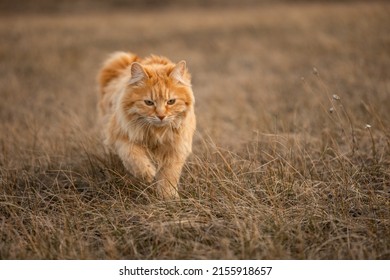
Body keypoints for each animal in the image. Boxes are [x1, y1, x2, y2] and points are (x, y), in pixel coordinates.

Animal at [97, 50, 195, 199]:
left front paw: (168, 196)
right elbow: (134, 157)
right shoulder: (122, 137)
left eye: (171, 101)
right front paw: (147, 174)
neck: (156, 133)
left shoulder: (176, 149)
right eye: (149, 102)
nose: (161, 116)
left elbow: (169, 176)